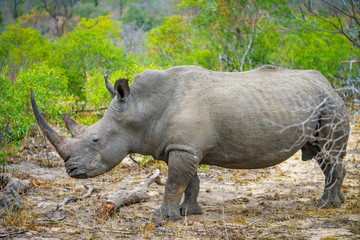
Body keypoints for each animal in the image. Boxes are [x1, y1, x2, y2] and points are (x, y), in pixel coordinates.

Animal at [31, 65, 348, 221]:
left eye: (95, 139)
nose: (71, 171)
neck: (141, 107)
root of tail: (330, 85)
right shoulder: (185, 147)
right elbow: (190, 181)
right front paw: (188, 212)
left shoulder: (184, 148)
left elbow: (174, 183)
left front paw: (161, 218)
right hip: (322, 103)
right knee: (322, 156)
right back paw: (336, 202)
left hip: (331, 104)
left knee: (329, 155)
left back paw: (325, 206)